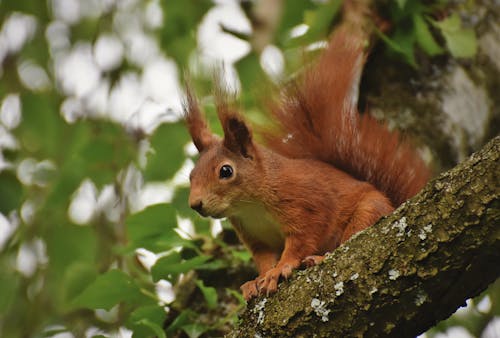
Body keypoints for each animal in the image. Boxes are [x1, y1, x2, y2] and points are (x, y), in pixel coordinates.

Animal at [184, 9, 430, 302]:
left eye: (225, 171)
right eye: (191, 175)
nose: (195, 204)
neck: (251, 205)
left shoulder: (306, 203)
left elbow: (301, 242)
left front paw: (281, 269)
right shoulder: (255, 236)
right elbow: (264, 258)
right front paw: (256, 280)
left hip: (369, 212)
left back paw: (320, 258)